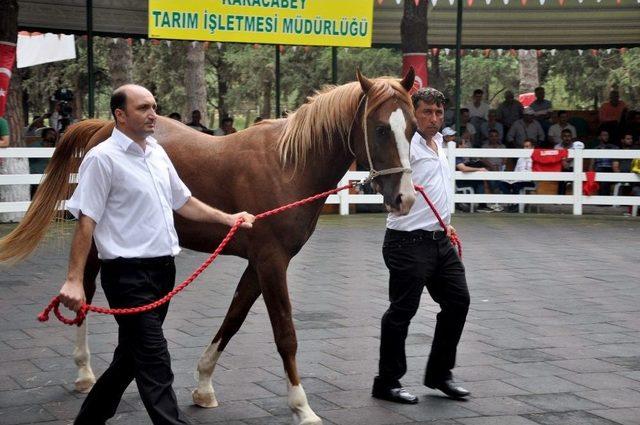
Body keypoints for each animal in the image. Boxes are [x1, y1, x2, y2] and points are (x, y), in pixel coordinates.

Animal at [0, 70, 418, 424]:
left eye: (413, 129)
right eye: (381, 128)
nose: (405, 199)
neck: (288, 167)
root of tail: (102, 127)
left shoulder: (260, 262)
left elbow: (233, 318)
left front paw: (203, 386)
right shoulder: (271, 262)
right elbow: (285, 333)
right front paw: (302, 407)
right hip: (93, 243)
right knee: (82, 294)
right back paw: (85, 372)